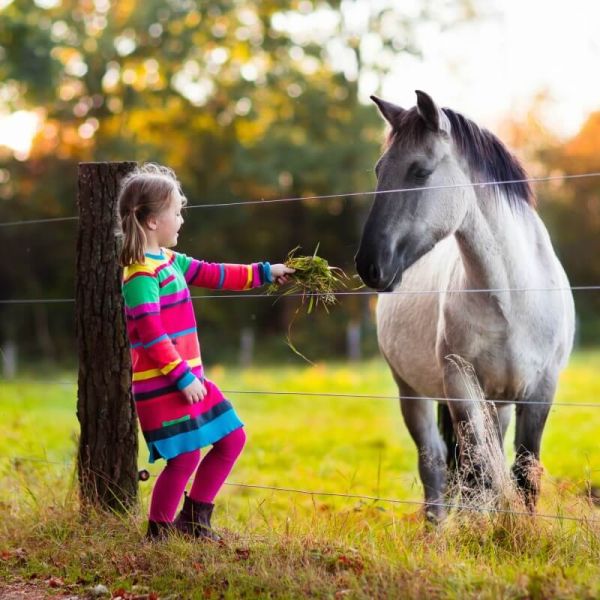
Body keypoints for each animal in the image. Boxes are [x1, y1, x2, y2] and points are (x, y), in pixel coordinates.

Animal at [354, 90, 576, 520]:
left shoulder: (540, 391)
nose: (369, 265)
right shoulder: (460, 388)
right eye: (378, 170)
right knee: (435, 465)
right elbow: (478, 475)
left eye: (420, 171)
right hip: (412, 393)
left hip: (497, 404)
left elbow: (523, 476)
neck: (511, 299)